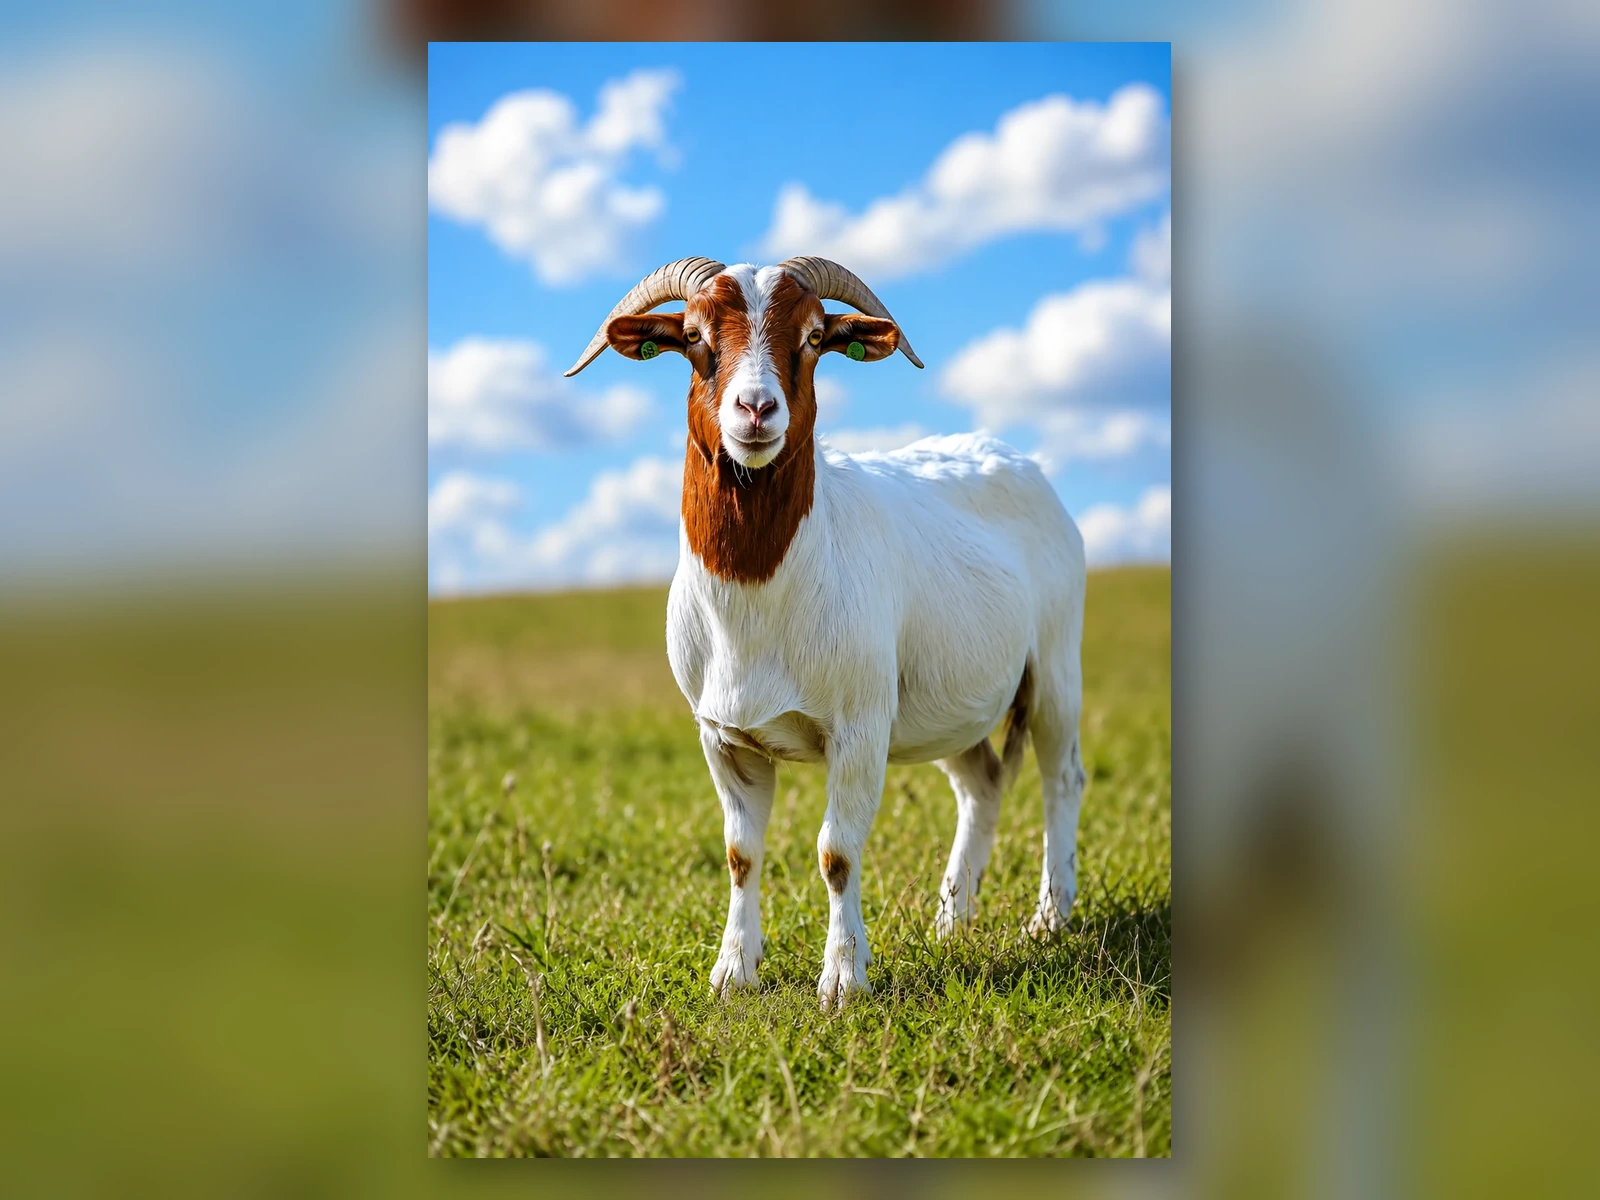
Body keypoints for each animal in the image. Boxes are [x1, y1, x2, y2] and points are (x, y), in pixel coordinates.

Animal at [567, 257, 1088, 1009]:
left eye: (815, 338)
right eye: (693, 336)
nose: (757, 410)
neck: (757, 606)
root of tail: (1016, 458)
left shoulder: (860, 724)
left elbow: (836, 852)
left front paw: (843, 979)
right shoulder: (722, 735)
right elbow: (741, 853)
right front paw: (733, 971)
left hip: (1053, 663)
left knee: (1063, 777)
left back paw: (1049, 917)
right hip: (948, 699)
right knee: (982, 782)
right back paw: (951, 920)